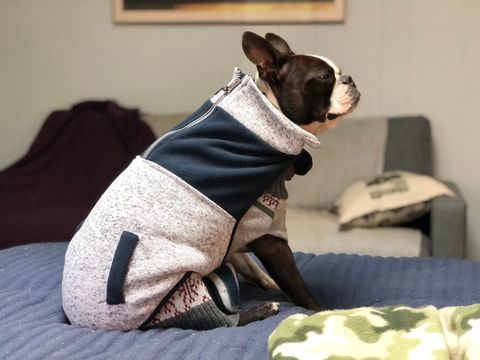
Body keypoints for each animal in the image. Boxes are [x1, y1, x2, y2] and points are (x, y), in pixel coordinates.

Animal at [61, 32, 360, 330]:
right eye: (324, 77)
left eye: (339, 73)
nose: (350, 79)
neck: (267, 109)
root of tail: (77, 318)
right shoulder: (266, 231)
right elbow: (297, 284)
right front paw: (325, 311)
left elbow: (243, 258)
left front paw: (264, 279)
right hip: (187, 288)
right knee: (223, 321)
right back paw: (262, 309)